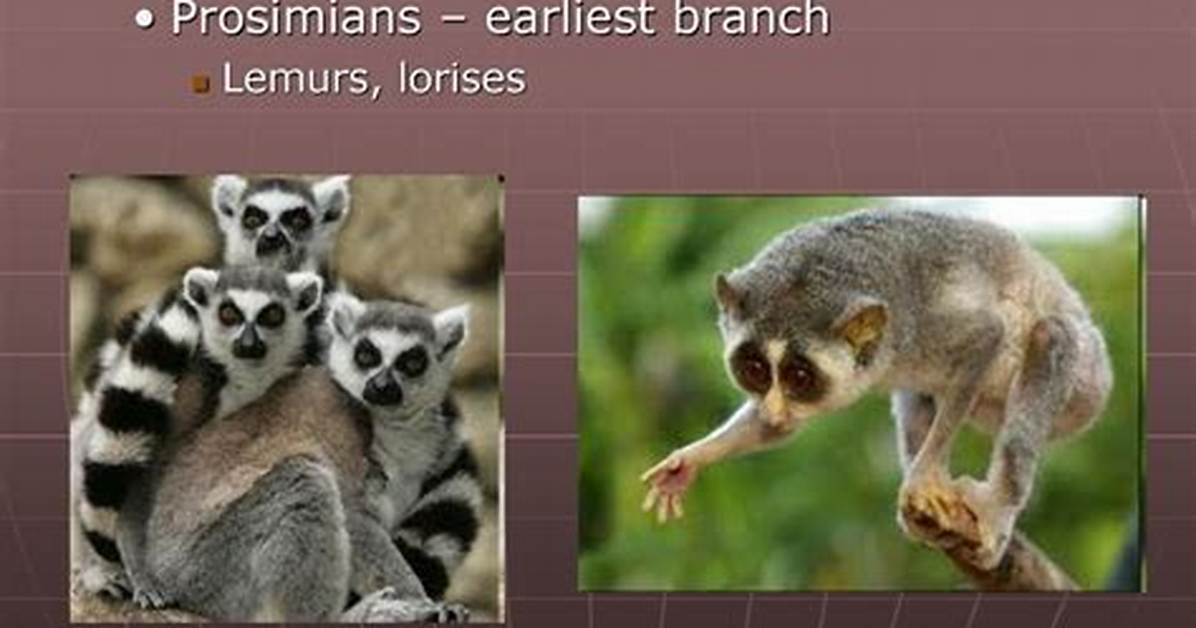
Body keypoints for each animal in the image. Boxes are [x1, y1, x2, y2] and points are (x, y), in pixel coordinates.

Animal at [640, 208, 1113, 571]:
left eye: (799, 377)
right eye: (754, 370)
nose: (774, 406)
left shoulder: (925, 327)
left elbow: (987, 337)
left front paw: (922, 477)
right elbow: (779, 428)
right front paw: (687, 463)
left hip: (1087, 382)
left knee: (1050, 338)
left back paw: (995, 509)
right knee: (917, 392)